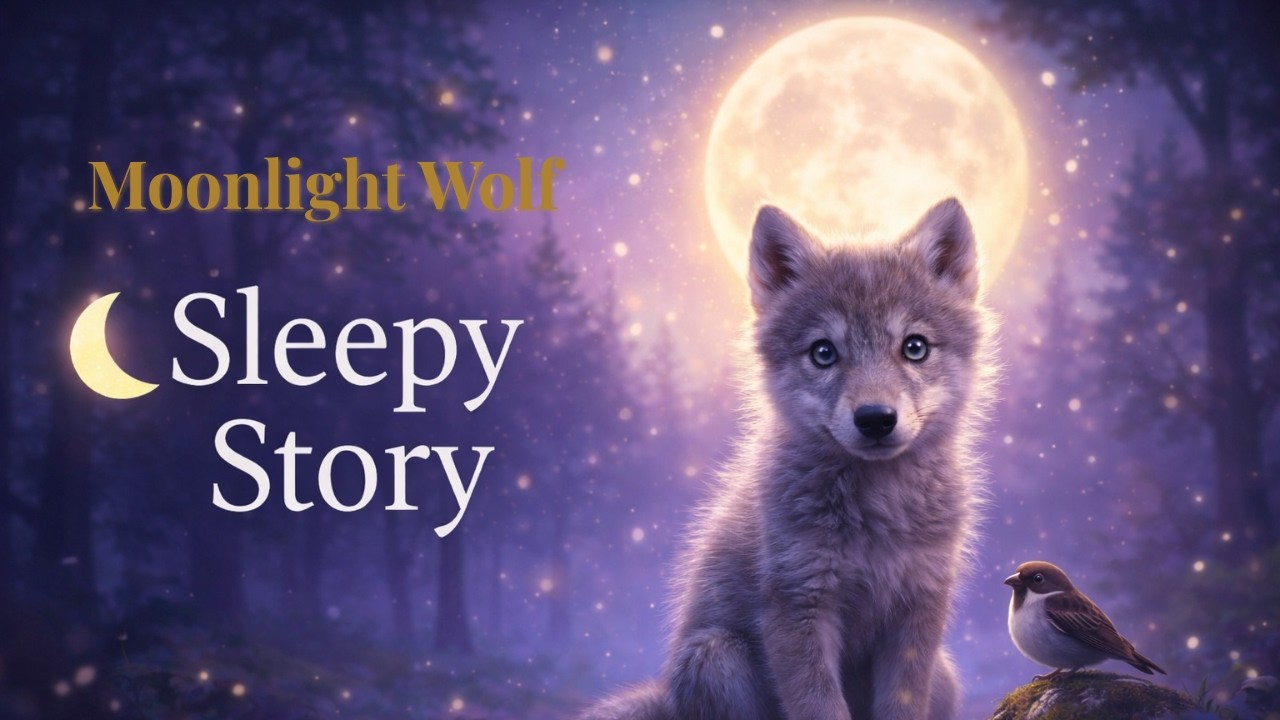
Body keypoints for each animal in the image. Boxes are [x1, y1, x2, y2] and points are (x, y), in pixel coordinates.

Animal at [583, 198, 994, 720]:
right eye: (823, 353)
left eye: (915, 347)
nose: (876, 419)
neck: (878, 515)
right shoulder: (798, 607)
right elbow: (820, 706)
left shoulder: (919, 611)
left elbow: (901, 705)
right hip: (717, 658)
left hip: (944, 674)